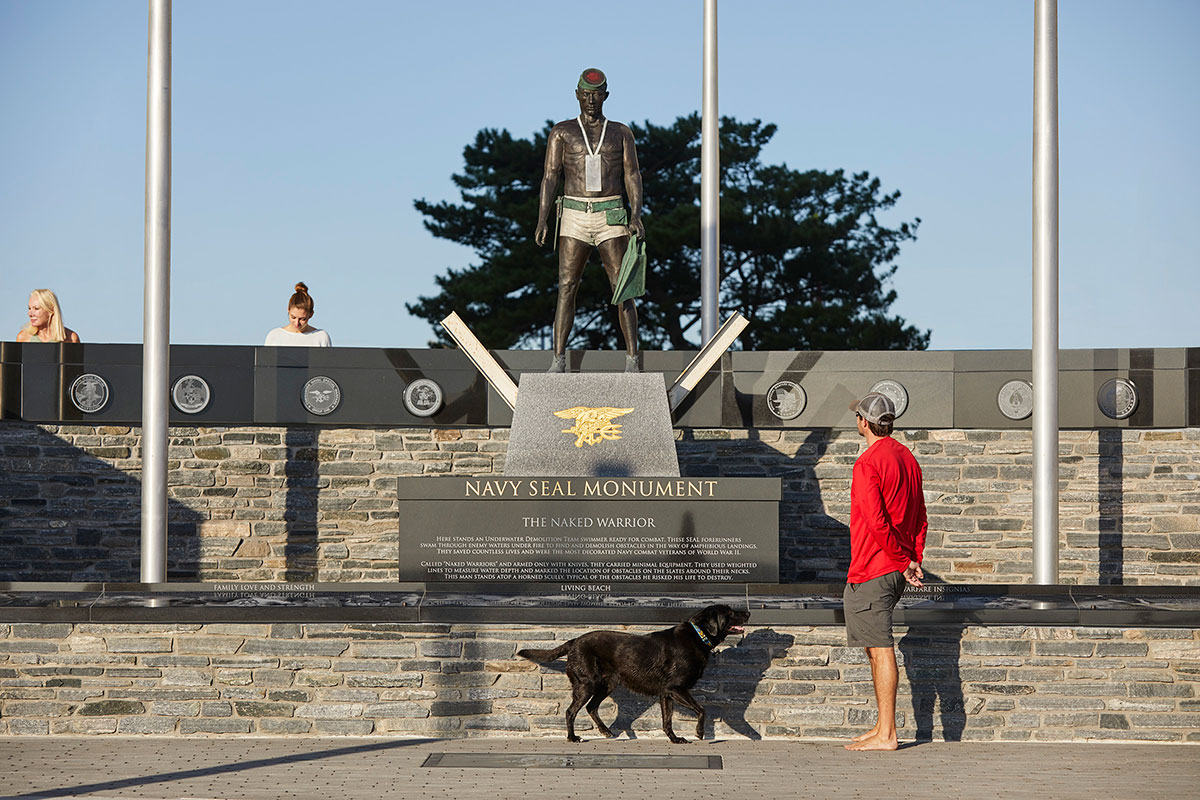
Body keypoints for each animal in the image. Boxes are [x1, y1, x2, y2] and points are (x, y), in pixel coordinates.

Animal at [518, 606, 748, 743]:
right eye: (729, 613)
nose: (747, 613)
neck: (698, 636)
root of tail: (573, 641)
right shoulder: (676, 688)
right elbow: (702, 710)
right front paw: (699, 732)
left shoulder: (667, 694)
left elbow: (667, 720)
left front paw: (674, 739)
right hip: (587, 684)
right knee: (570, 711)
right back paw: (573, 737)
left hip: (607, 684)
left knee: (591, 707)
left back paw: (606, 731)